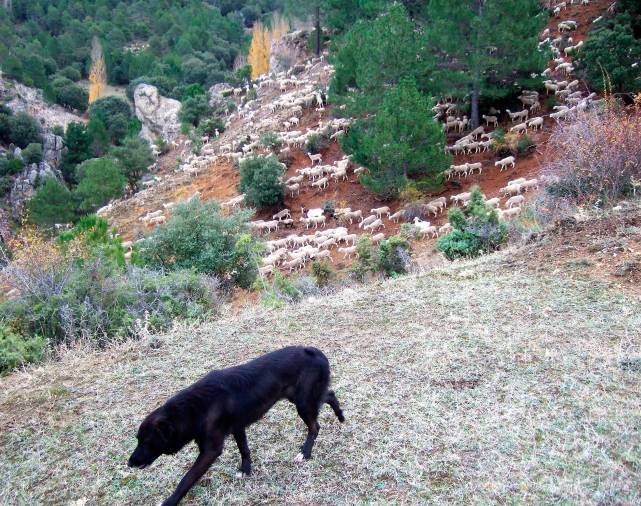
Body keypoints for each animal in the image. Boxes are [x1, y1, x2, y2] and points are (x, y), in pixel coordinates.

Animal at [127, 346, 342, 504]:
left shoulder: (211, 451)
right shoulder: (238, 426)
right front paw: (246, 470)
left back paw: (305, 453)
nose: (130, 463)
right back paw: (341, 416)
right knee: (329, 395)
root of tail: (313, 351)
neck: (193, 409)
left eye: (147, 442)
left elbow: (186, 479)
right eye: (138, 440)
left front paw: (170, 501)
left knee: (315, 426)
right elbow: (244, 449)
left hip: (303, 402)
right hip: (301, 398)